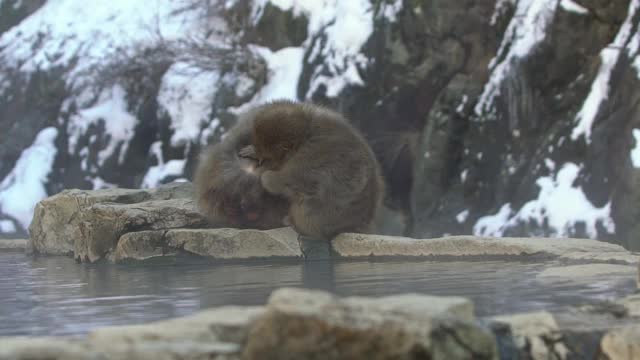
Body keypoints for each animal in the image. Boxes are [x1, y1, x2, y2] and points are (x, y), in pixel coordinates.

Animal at [239, 100, 380, 239]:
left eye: (266, 159)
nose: (260, 163)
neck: (305, 137)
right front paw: (253, 152)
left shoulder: (308, 158)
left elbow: (295, 181)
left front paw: (266, 177)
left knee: (308, 205)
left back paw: (294, 222)